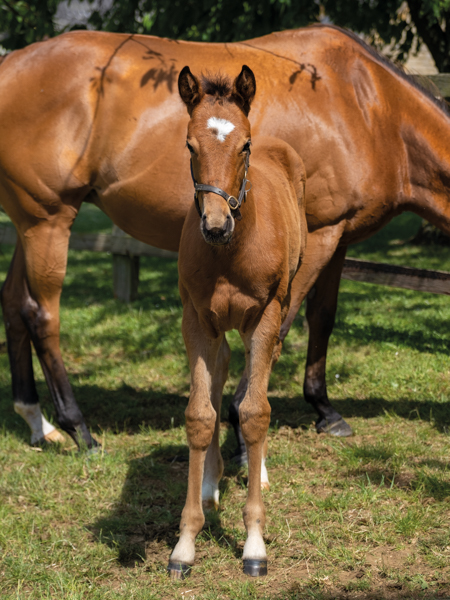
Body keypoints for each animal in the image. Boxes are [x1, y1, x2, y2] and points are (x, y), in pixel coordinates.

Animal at [0, 24, 450, 454]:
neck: (369, 107)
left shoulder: (337, 238)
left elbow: (322, 318)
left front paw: (324, 409)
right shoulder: (322, 235)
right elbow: (284, 325)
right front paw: (238, 414)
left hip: (28, 223)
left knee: (15, 303)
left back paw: (38, 422)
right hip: (49, 221)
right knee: (42, 315)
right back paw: (79, 429)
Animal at [167, 63, 308, 580]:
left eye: (244, 145)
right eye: (189, 145)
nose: (215, 225)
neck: (230, 252)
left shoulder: (265, 314)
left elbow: (255, 411)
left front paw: (254, 544)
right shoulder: (195, 318)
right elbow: (199, 412)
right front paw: (185, 543)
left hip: (279, 306)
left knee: (253, 384)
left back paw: (256, 466)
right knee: (226, 368)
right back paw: (212, 481)